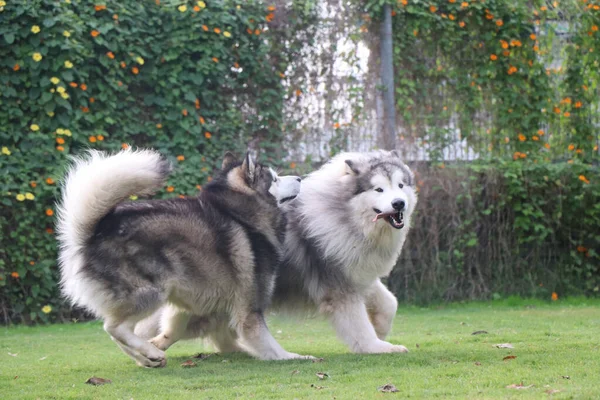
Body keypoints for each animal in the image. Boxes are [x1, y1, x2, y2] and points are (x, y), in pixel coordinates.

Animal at [55, 148, 312, 368]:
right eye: (275, 179)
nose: (300, 178)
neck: (244, 217)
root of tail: (95, 232)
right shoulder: (249, 308)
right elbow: (268, 343)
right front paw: (293, 356)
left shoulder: (191, 298)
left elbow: (176, 327)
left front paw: (161, 341)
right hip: (150, 293)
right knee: (114, 327)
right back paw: (149, 352)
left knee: (121, 333)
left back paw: (148, 357)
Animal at [139, 151, 418, 356]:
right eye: (378, 190)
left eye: (400, 185)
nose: (399, 204)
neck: (344, 216)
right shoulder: (339, 287)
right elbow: (358, 325)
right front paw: (377, 346)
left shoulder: (357, 274)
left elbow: (389, 302)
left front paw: (381, 329)